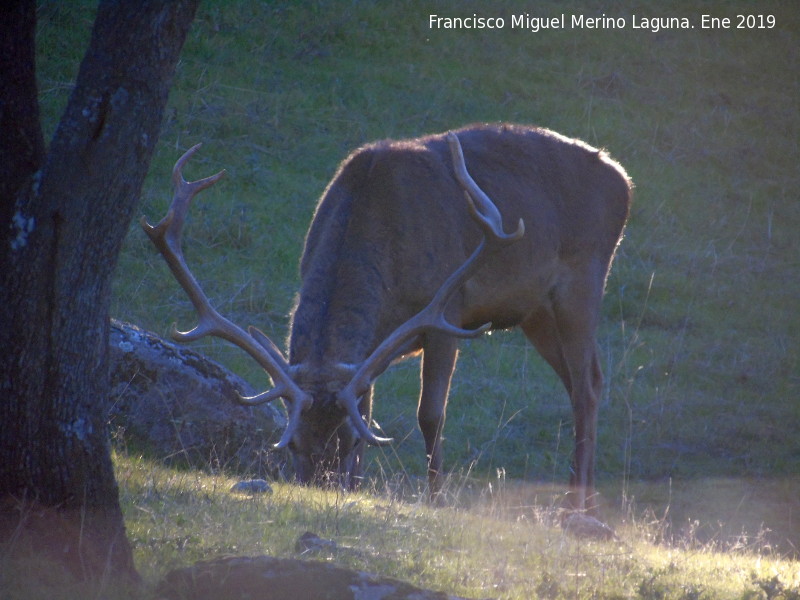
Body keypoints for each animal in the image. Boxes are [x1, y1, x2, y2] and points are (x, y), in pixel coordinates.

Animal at [142, 122, 632, 510]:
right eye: (293, 442)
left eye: (348, 440)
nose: (320, 490)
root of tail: (623, 179)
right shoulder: (367, 351)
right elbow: (369, 405)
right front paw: (358, 490)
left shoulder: (447, 314)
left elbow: (430, 415)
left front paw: (436, 500)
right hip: (535, 312)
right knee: (583, 380)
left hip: (585, 279)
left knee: (587, 384)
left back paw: (579, 504)